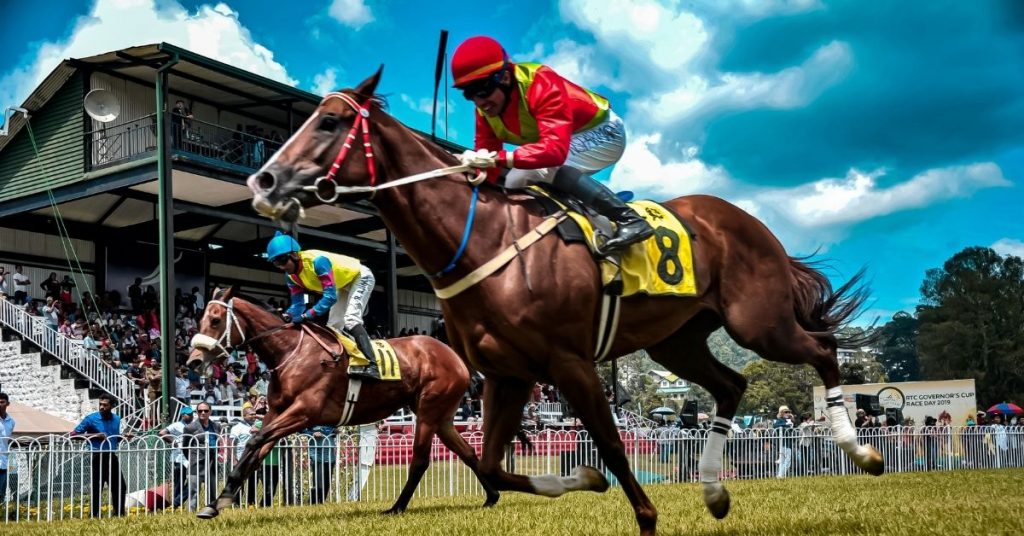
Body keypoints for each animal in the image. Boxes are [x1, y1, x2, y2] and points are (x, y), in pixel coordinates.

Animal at [185, 287, 500, 518]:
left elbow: (254, 441)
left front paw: (221, 500)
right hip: (441, 416)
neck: (290, 352)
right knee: (467, 452)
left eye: (215, 320)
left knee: (421, 460)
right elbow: (256, 450)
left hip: (428, 411)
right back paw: (492, 495)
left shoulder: (305, 412)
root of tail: (455, 357)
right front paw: (217, 502)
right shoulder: (276, 413)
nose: (194, 361)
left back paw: (397, 507)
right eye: (200, 320)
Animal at [244, 69, 882, 535]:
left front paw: (642, 513)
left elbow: (612, 447)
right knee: (731, 383)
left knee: (823, 348)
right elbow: (495, 466)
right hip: (677, 341)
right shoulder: (509, 375)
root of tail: (744, 218)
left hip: (759, 321)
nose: (264, 180)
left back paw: (860, 450)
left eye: (328, 121)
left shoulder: (569, 363)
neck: (481, 239)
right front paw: (583, 482)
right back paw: (714, 488)